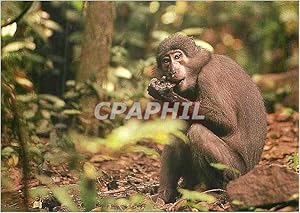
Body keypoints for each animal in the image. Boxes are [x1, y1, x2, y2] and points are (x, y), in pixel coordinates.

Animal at [148, 33, 268, 203]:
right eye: (166, 61)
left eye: (177, 56)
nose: (172, 70)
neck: (201, 67)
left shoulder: (209, 76)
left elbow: (226, 122)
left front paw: (164, 93)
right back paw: (166, 194)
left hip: (237, 171)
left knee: (197, 132)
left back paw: (216, 191)